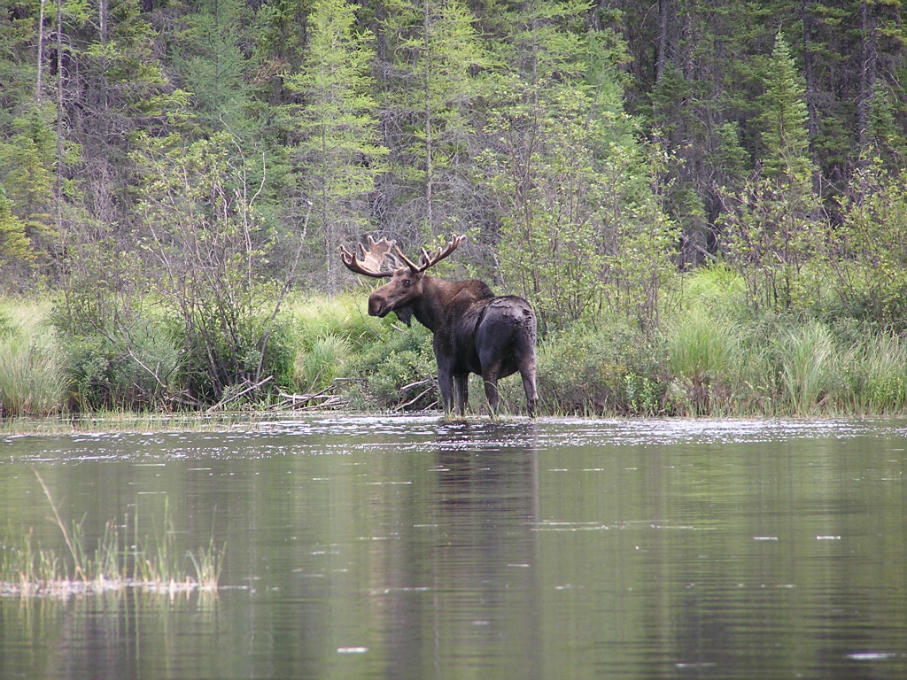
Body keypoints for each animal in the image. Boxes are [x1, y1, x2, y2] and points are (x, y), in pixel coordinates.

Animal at [340, 234, 540, 418]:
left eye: (407, 281)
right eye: (390, 280)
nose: (373, 301)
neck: (434, 317)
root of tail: (518, 317)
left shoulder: (445, 364)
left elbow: (449, 408)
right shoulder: (462, 371)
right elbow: (462, 408)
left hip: (489, 362)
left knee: (494, 404)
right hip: (529, 358)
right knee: (532, 400)